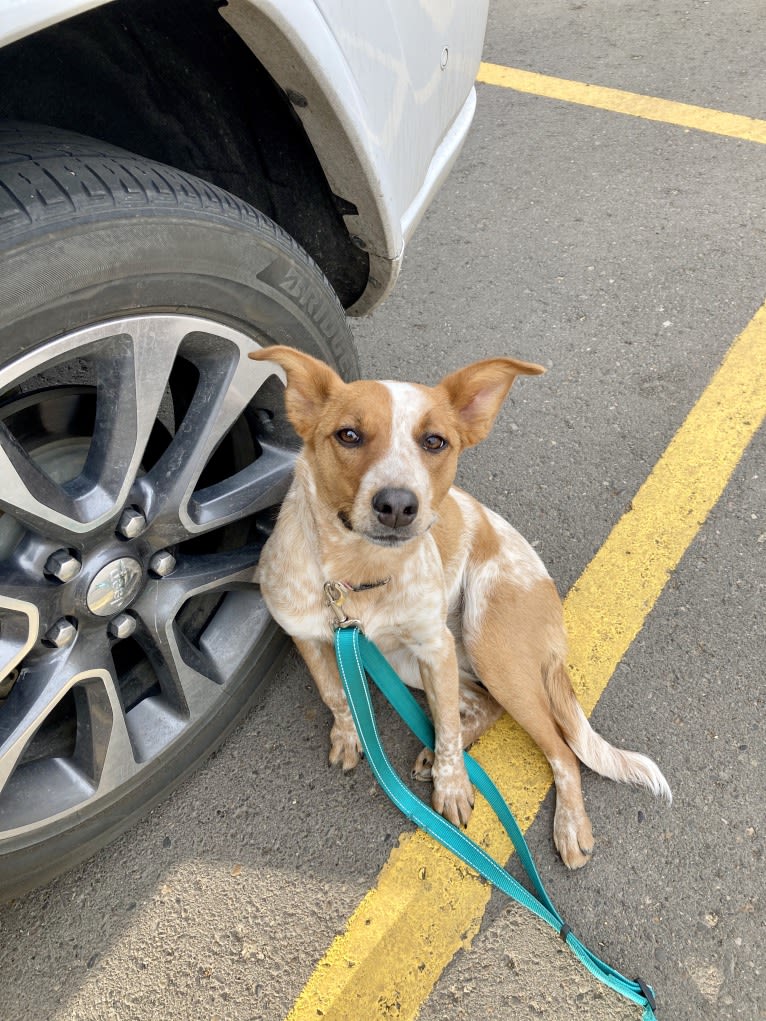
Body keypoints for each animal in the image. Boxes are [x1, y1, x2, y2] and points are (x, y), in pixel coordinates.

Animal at [250, 347, 669, 865]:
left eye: (435, 442)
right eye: (349, 435)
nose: (397, 505)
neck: (359, 577)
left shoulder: (435, 647)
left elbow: (448, 723)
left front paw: (451, 786)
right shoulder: (308, 636)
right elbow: (336, 695)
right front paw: (349, 736)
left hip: (487, 648)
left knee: (560, 750)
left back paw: (568, 824)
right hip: (410, 661)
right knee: (483, 706)